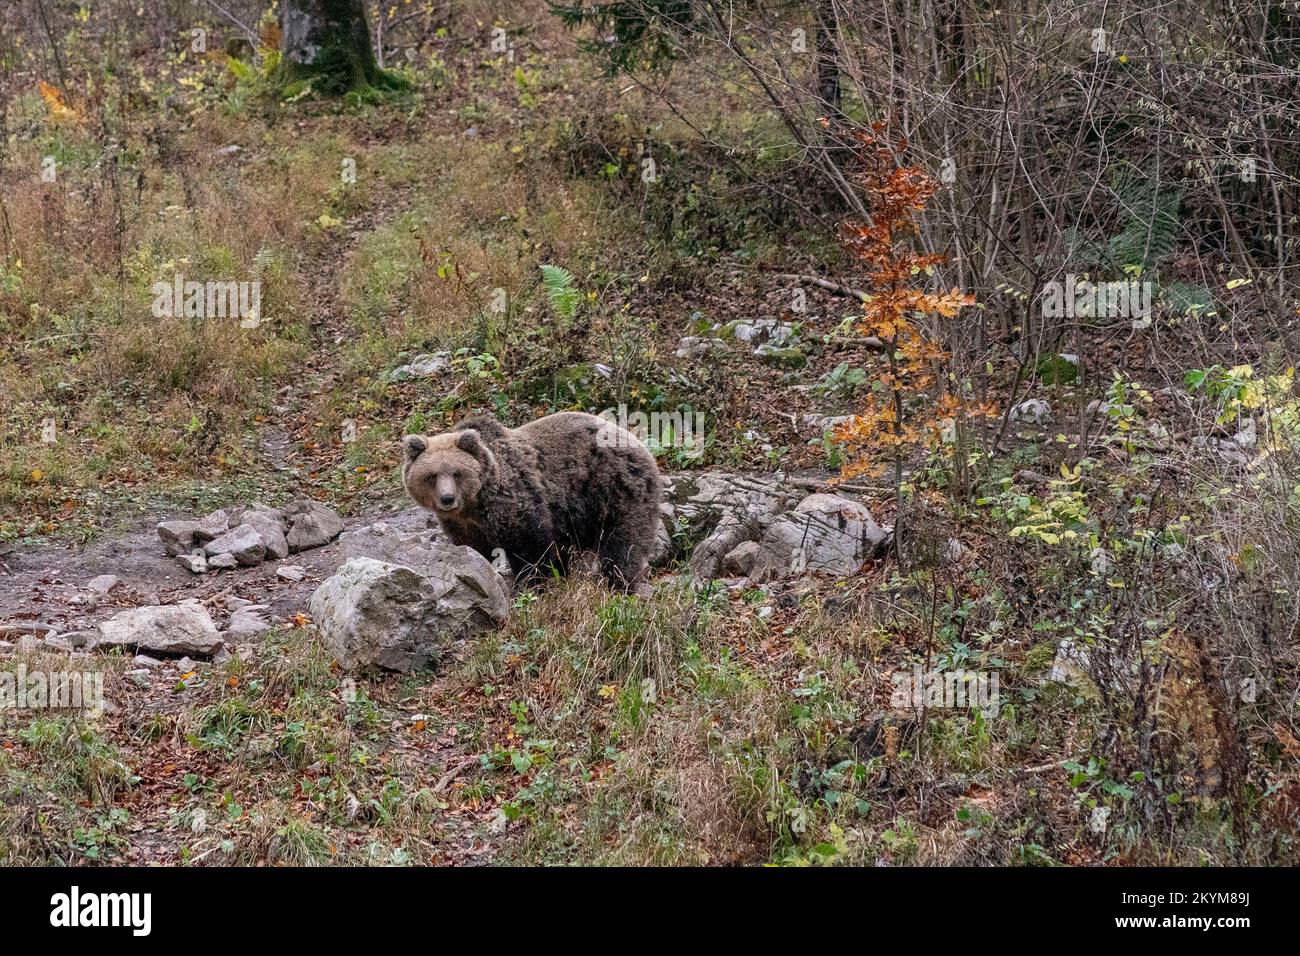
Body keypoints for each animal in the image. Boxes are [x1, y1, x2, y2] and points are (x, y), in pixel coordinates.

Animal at [400, 413, 665, 595]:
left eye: (456, 473)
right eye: (431, 475)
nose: (447, 499)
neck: (474, 505)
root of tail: (638, 443)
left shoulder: (516, 500)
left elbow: (530, 546)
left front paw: (533, 584)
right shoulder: (463, 526)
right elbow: (474, 551)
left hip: (614, 489)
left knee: (623, 544)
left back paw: (619, 584)